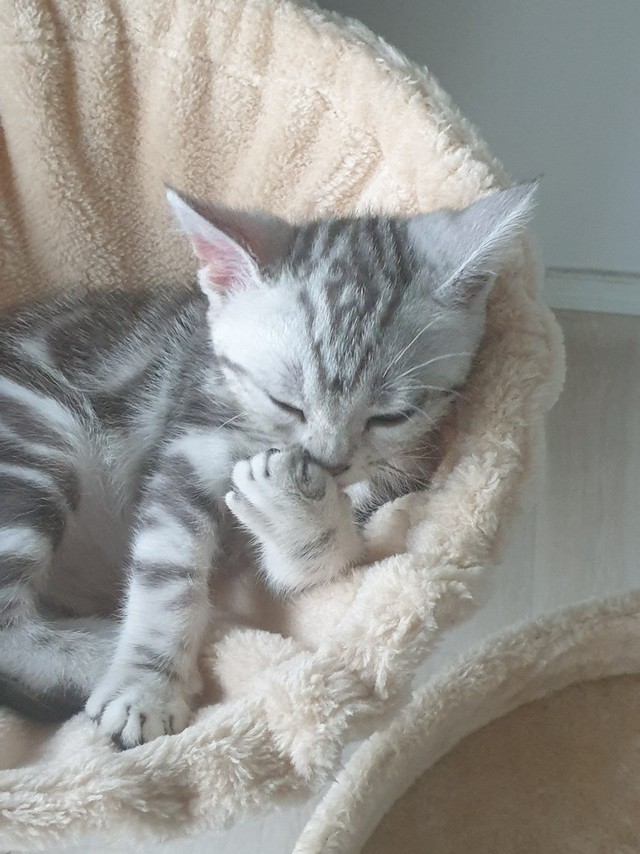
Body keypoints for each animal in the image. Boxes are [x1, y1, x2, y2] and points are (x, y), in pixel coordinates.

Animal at [0, 181, 536, 748]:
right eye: (286, 404)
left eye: (392, 416)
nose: (328, 462)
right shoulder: (191, 445)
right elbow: (168, 574)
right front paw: (147, 688)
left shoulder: (396, 482)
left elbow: (319, 564)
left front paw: (294, 517)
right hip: (40, 434)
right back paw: (113, 650)